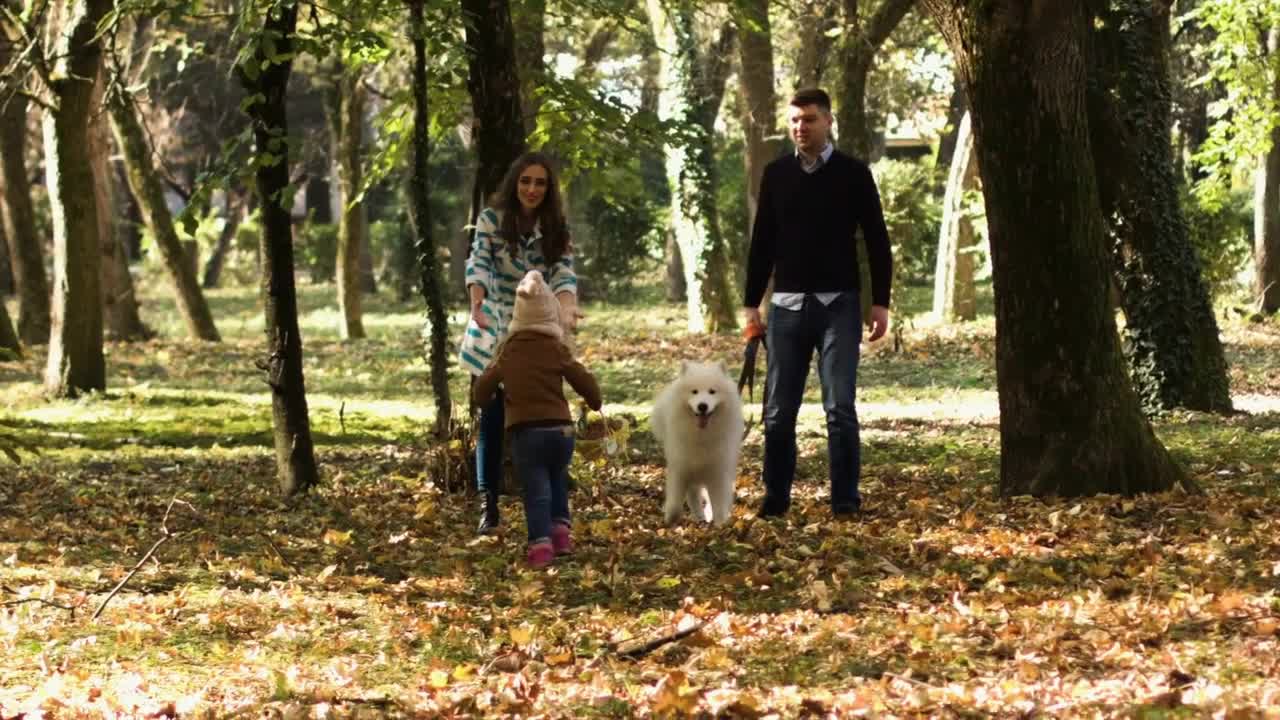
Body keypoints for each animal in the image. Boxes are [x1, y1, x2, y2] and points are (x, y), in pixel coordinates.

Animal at [655, 356, 747, 520]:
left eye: (712, 391)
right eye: (694, 392)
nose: (702, 406)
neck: (701, 436)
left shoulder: (717, 473)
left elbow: (718, 504)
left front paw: (720, 522)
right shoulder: (680, 469)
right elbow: (675, 502)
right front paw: (670, 520)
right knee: (693, 495)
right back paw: (699, 516)